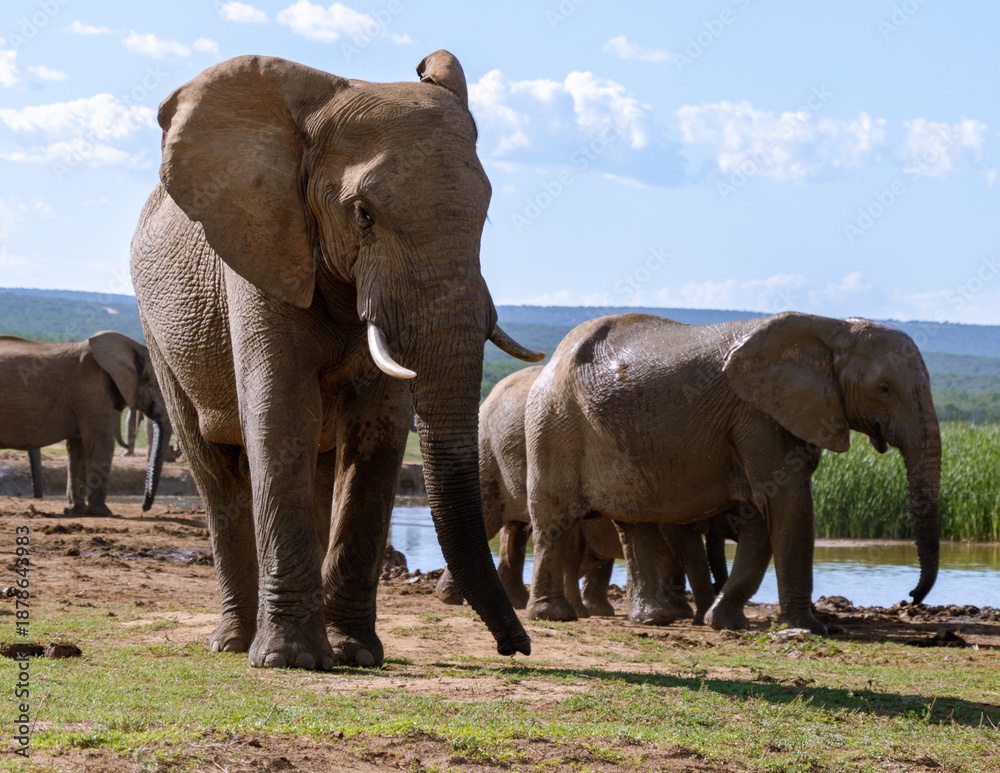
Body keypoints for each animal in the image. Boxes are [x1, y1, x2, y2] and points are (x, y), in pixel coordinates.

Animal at [0, 332, 171, 515]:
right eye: (157, 384)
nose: (143, 508)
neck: (131, 347)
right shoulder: (91, 391)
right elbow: (101, 443)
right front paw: (103, 513)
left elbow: (78, 447)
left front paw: (74, 511)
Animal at [130, 52, 541, 670]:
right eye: (363, 214)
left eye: (485, 214)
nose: (515, 646)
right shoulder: (262, 249)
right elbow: (282, 414)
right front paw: (291, 661)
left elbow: (380, 430)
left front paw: (355, 654)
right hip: (159, 333)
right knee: (214, 470)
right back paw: (235, 644)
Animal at [525, 312, 940, 634]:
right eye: (884, 388)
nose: (910, 597)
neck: (832, 327)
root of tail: (554, 356)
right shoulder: (756, 414)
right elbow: (787, 500)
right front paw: (809, 629)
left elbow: (763, 511)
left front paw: (725, 623)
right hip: (555, 421)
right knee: (553, 519)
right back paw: (554, 615)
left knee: (634, 523)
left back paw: (653, 620)